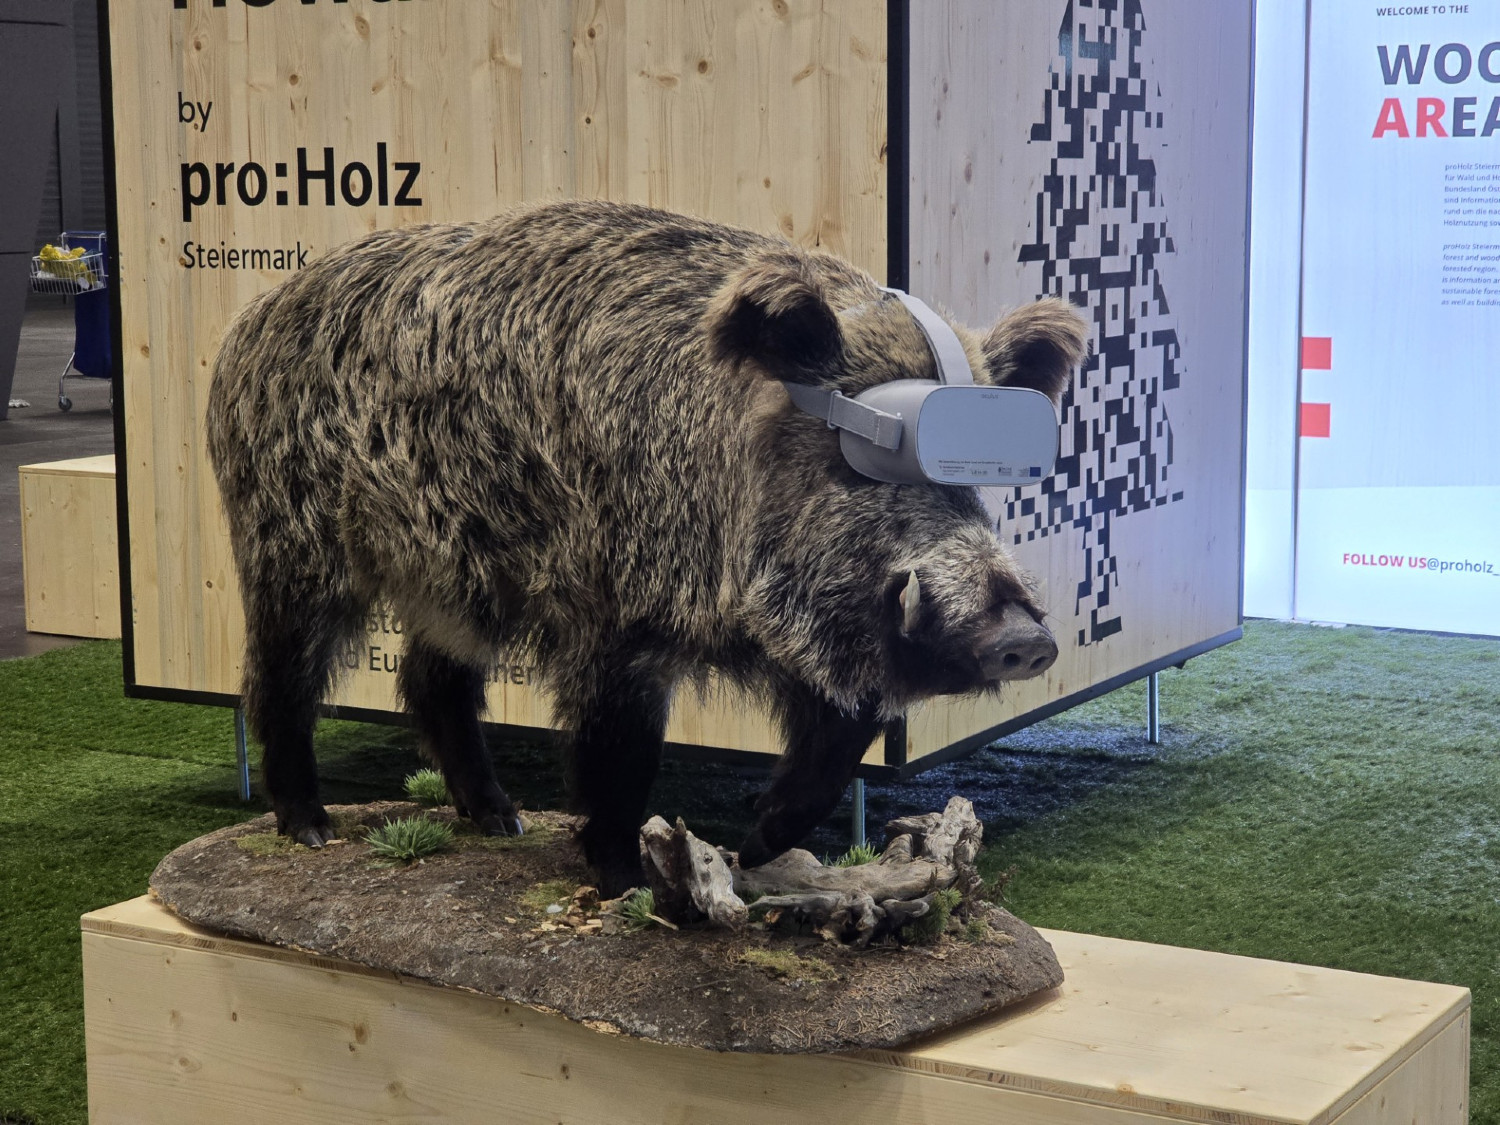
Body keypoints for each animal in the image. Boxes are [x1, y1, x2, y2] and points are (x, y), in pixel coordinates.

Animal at [205, 199, 1089, 896]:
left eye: (979, 481)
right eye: (868, 458)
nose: (1026, 637)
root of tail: (244, 328)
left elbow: (835, 745)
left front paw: (755, 848)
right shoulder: (610, 610)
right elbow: (621, 750)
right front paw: (628, 882)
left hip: (457, 582)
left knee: (432, 680)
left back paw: (502, 821)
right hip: (289, 543)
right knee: (280, 677)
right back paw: (310, 826)